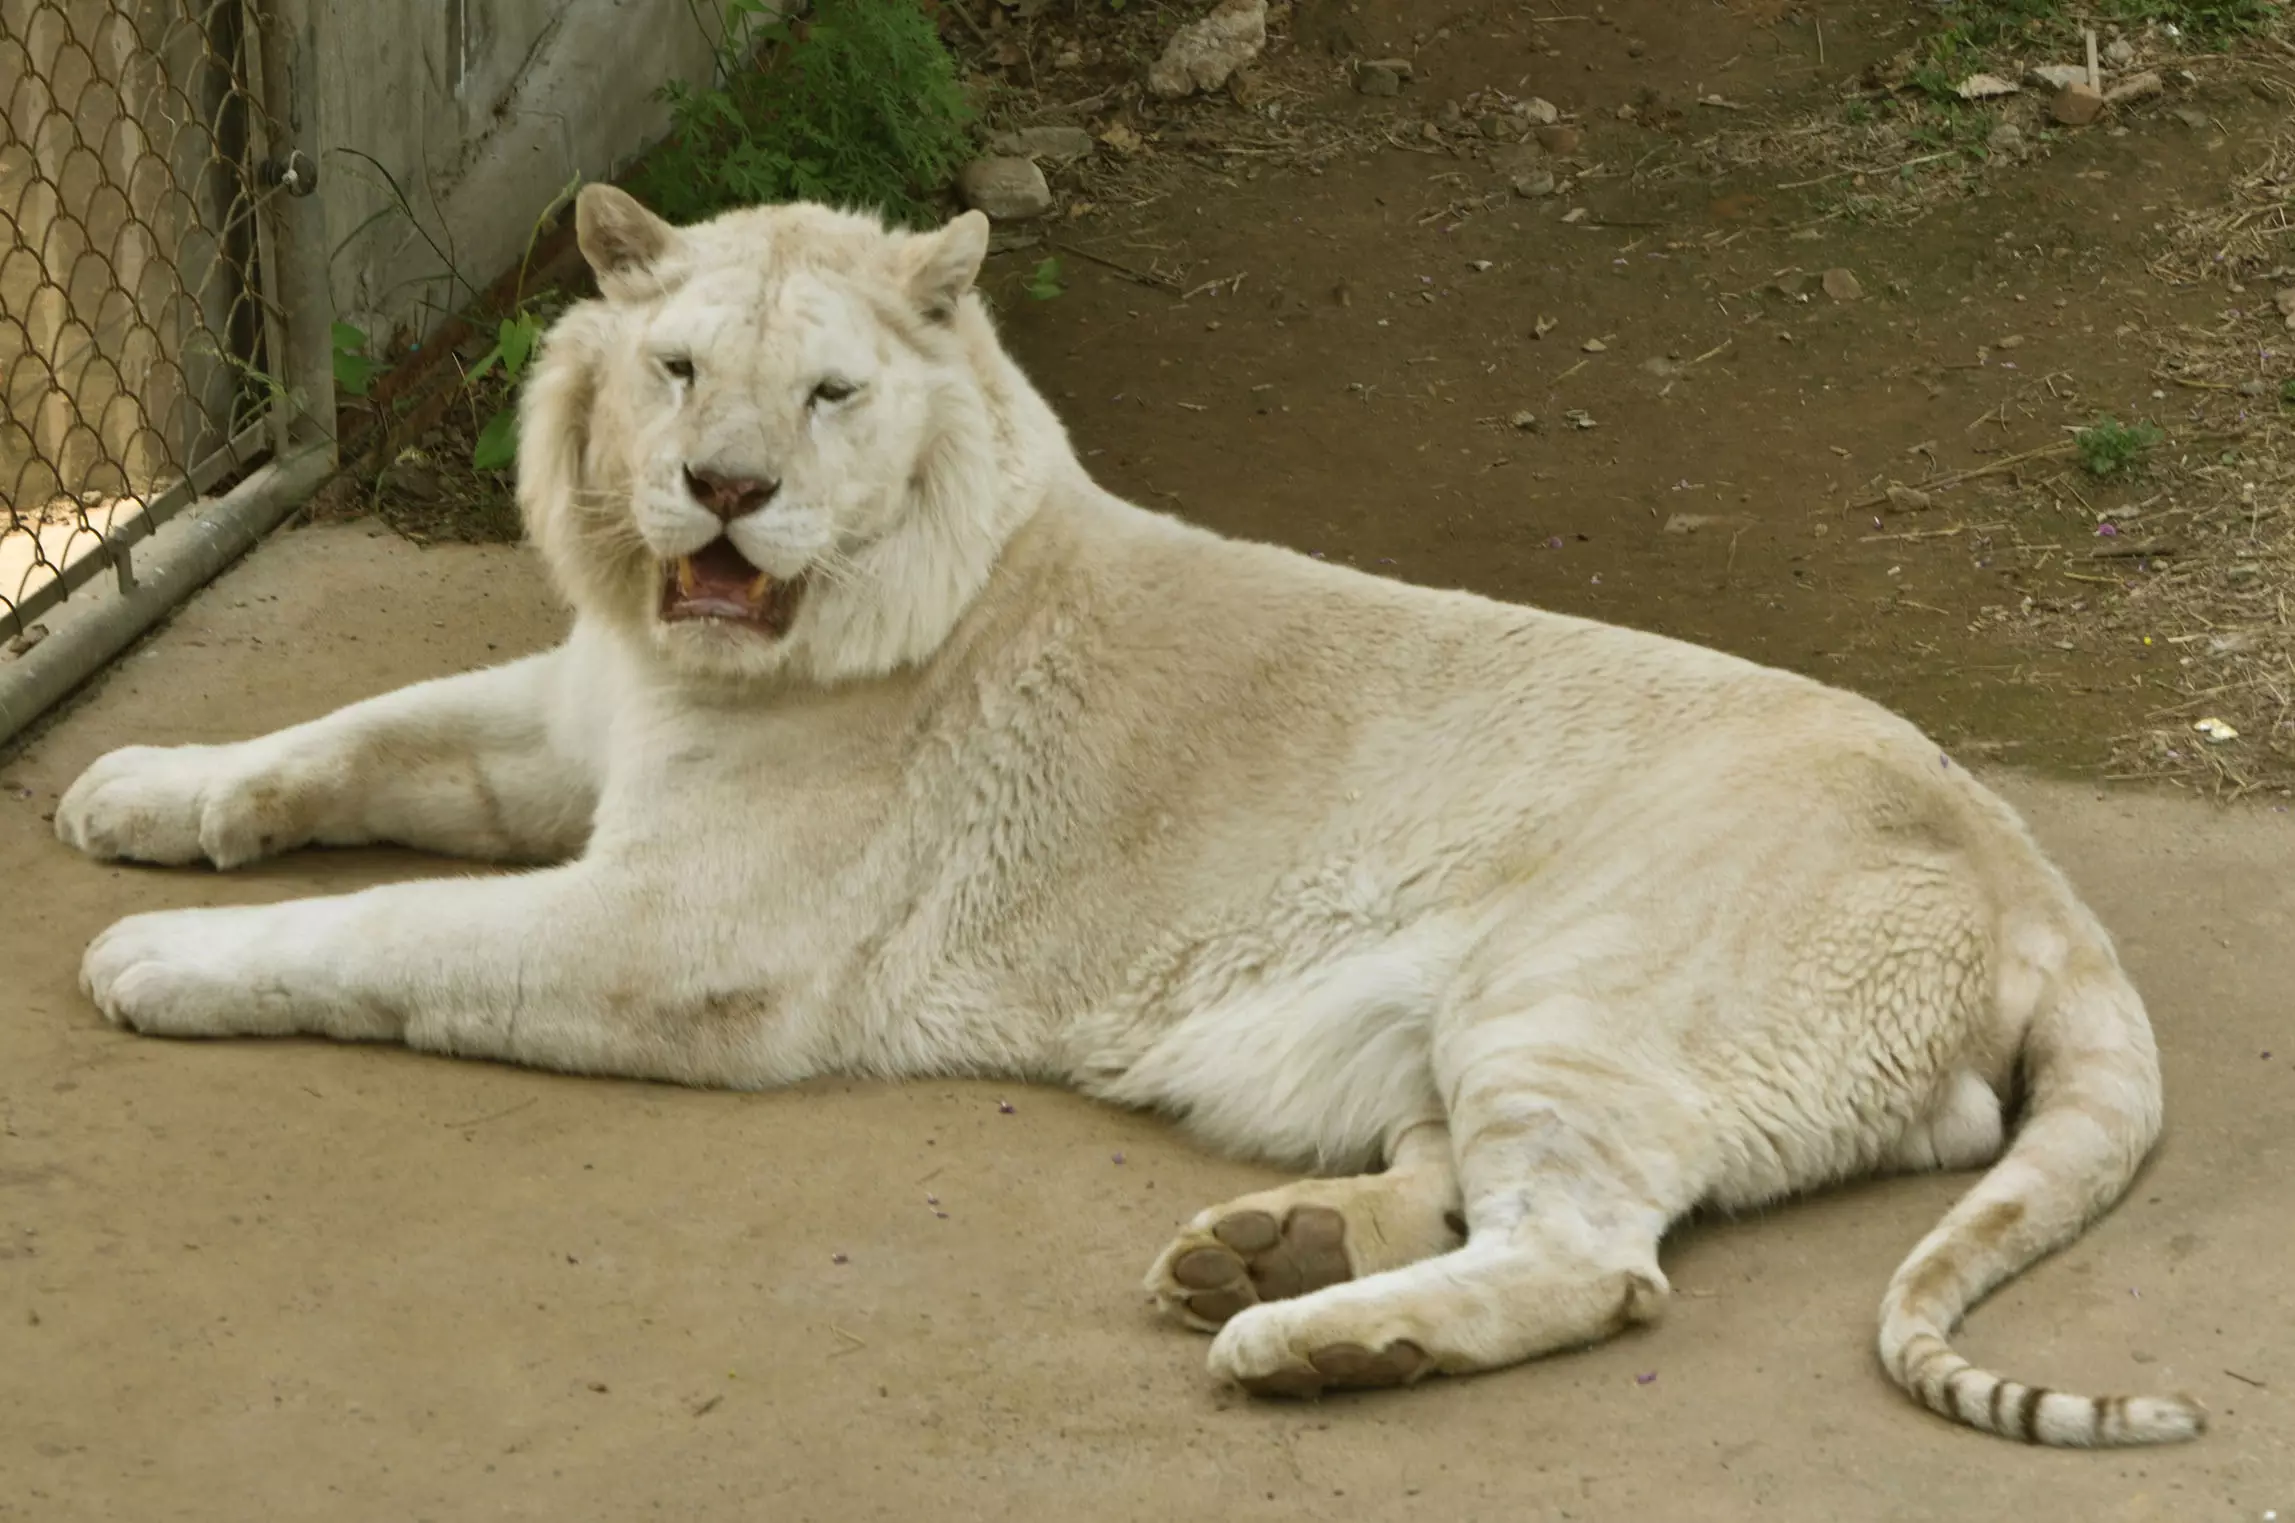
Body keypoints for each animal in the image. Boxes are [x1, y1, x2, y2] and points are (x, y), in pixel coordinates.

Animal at [58, 184, 2203, 1449]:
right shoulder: (577, 722)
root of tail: (2042, 880)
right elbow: (345, 735)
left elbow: (382, 931)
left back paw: (1308, 1345)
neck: (712, 660)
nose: (725, 491)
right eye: (675, 368)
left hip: (1583, 992)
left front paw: (152, 953)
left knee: (1598, 1253)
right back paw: (1262, 1256)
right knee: (1473, 1184)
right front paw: (132, 791)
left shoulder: (684, 941)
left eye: (826, 397)